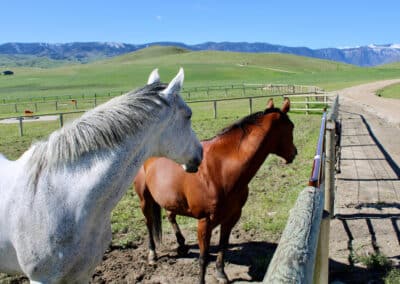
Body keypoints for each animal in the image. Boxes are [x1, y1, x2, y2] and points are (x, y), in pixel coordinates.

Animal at [134, 97, 296, 282]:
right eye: (291, 127)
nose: (294, 153)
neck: (221, 168)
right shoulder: (205, 222)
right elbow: (203, 258)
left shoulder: (232, 217)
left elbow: (223, 246)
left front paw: (221, 273)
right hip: (144, 199)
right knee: (149, 222)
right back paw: (152, 254)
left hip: (169, 197)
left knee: (170, 215)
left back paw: (181, 244)